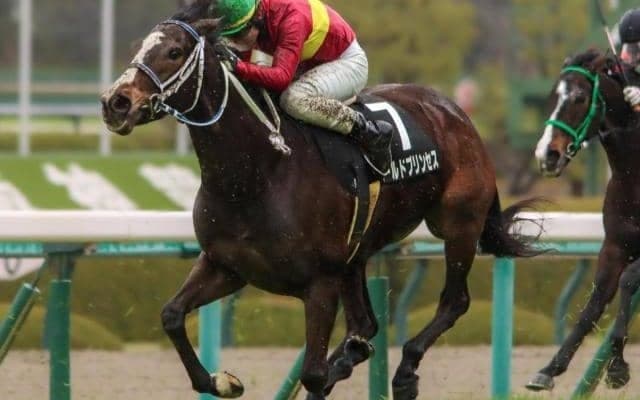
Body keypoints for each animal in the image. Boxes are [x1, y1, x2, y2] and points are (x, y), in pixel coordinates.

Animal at [101, 2, 539, 399]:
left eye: (174, 52)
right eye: (140, 47)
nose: (114, 102)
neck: (256, 176)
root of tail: (457, 114)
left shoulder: (320, 283)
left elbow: (312, 374)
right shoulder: (226, 265)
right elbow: (172, 316)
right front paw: (221, 381)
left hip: (458, 223)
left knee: (454, 301)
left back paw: (404, 372)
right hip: (357, 257)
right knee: (365, 326)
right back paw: (352, 356)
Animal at [528, 48, 640, 391]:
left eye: (579, 97)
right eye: (553, 95)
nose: (546, 155)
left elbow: (628, 280)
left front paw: (617, 368)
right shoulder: (614, 246)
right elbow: (594, 303)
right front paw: (550, 368)